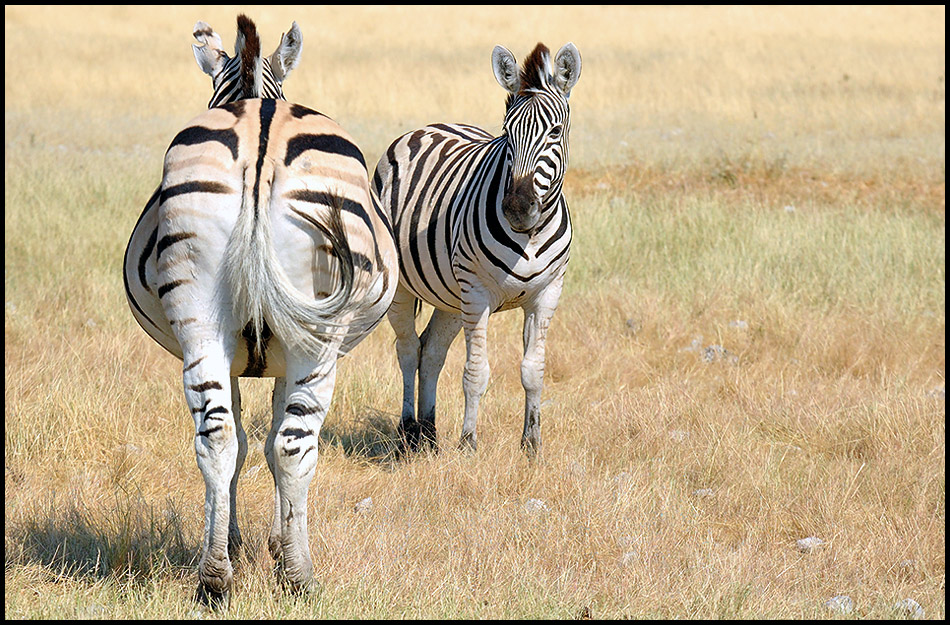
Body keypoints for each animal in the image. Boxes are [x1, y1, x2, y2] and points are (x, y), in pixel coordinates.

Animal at [122, 15, 398, 604]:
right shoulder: (282, 356)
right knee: (295, 445)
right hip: (317, 338)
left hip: (201, 320)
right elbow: (269, 443)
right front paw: (271, 544)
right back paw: (299, 575)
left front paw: (236, 543)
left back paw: (213, 579)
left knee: (216, 439)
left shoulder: (237, 354)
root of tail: (260, 133)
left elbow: (249, 442)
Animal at [376, 42, 584, 454]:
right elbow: (476, 373)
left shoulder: (547, 294)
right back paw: (408, 431)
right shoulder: (477, 292)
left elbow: (533, 370)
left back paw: (429, 431)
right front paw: (469, 443)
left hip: (451, 296)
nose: (517, 208)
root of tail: (429, 127)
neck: (529, 235)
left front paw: (531, 443)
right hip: (409, 288)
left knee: (431, 350)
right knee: (407, 348)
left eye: (555, 132)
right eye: (507, 133)